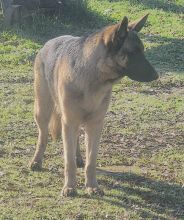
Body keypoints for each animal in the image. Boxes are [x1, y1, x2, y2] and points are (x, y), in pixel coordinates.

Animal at [29, 13, 158, 196]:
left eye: (143, 51)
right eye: (133, 53)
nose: (156, 76)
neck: (94, 76)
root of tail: (50, 41)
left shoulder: (94, 125)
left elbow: (91, 161)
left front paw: (92, 186)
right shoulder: (70, 121)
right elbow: (68, 161)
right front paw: (70, 187)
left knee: (74, 140)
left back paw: (78, 158)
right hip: (43, 111)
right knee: (43, 136)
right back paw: (37, 161)